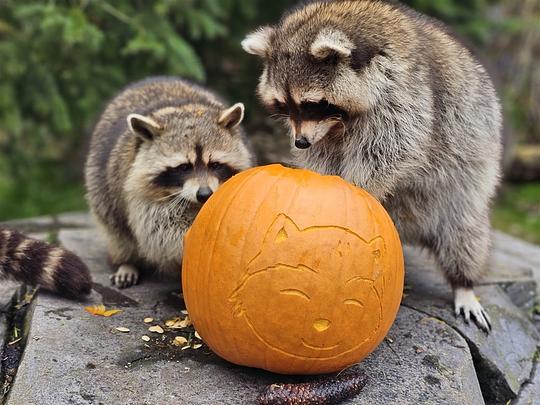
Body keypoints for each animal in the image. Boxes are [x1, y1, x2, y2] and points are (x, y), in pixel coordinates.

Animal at [85, 76, 254, 288]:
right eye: (184, 167)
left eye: (215, 165)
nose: (204, 194)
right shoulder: (138, 190)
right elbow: (160, 230)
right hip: (101, 189)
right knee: (118, 232)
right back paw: (127, 262)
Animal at [243, 0, 504, 330]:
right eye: (284, 105)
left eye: (312, 104)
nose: (301, 143)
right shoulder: (327, 132)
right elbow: (324, 154)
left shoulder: (404, 91)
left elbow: (395, 148)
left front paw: (356, 187)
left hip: (465, 181)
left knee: (463, 233)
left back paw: (463, 283)